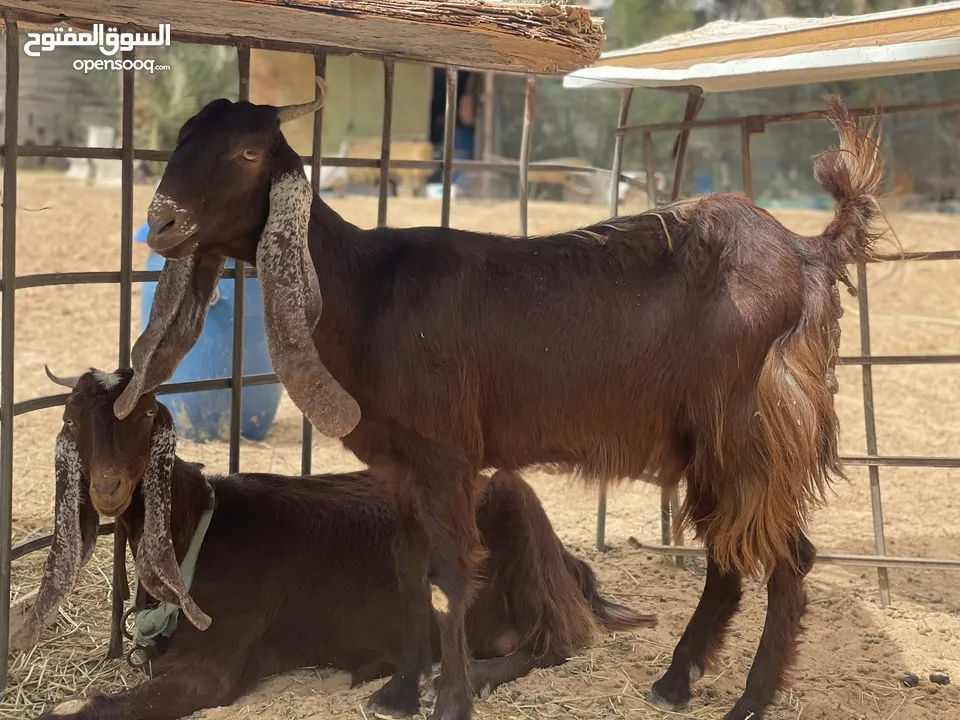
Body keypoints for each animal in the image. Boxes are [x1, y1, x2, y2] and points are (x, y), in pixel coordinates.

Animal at [13, 368, 652, 716]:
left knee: (553, 640)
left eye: (146, 416)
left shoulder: (213, 665)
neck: (197, 532)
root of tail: (569, 562)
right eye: (71, 420)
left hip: (520, 517)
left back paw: (457, 677)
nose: (109, 488)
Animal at [114, 88, 884, 720]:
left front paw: (450, 700)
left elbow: (454, 574)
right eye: (180, 139)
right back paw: (674, 683)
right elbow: (408, 565)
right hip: (709, 444)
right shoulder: (401, 464)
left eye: (247, 151)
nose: (161, 222)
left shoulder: (448, 454)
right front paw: (398, 692)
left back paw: (751, 700)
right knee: (730, 555)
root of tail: (809, 251)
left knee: (789, 555)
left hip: (752, 431)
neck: (368, 289)